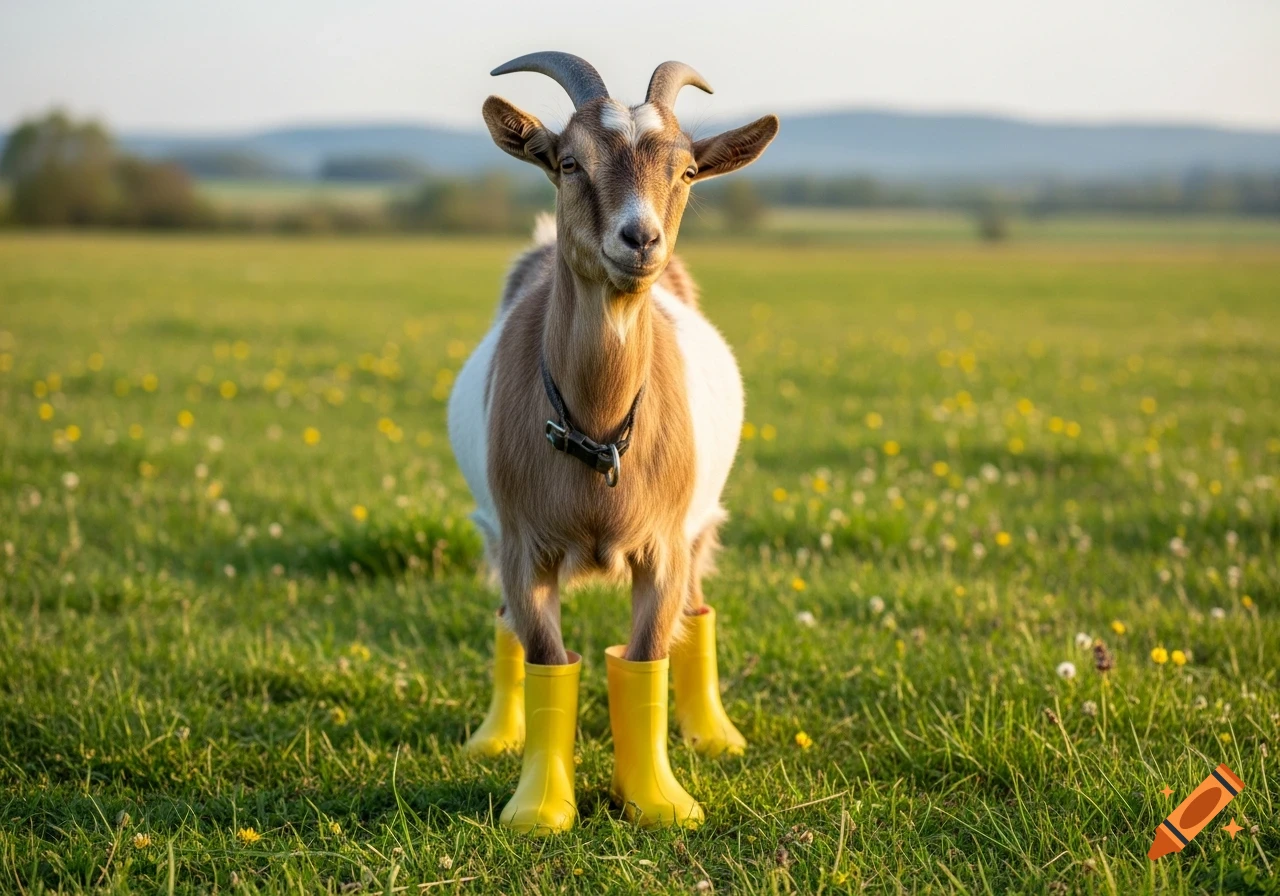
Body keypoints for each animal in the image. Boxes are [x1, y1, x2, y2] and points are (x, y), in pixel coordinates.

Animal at [447, 52, 777, 833]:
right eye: (569, 162)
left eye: (686, 171)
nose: (641, 239)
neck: (597, 434)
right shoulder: (524, 544)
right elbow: (546, 658)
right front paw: (539, 806)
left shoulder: (662, 545)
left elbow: (646, 655)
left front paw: (656, 799)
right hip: (494, 534)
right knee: (504, 625)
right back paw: (495, 739)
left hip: (699, 528)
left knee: (696, 616)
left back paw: (712, 735)